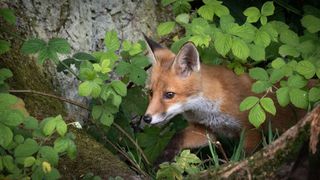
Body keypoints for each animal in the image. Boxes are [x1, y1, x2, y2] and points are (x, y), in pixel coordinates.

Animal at [141, 35, 306, 165]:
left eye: (169, 95)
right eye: (151, 92)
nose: (146, 118)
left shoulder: (251, 128)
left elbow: (246, 156)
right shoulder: (206, 130)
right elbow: (178, 136)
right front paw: (161, 161)